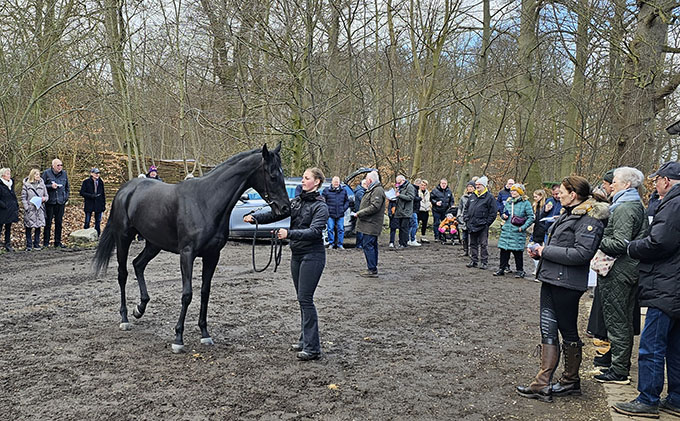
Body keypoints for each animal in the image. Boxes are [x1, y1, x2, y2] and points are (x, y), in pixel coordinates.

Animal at [93, 144, 290, 352]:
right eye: (273, 175)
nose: (286, 209)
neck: (205, 202)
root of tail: (126, 190)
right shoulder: (187, 254)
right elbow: (187, 294)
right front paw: (178, 338)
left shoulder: (212, 256)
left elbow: (205, 292)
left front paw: (205, 333)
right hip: (124, 238)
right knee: (122, 274)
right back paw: (124, 318)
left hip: (154, 244)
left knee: (138, 264)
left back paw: (139, 309)